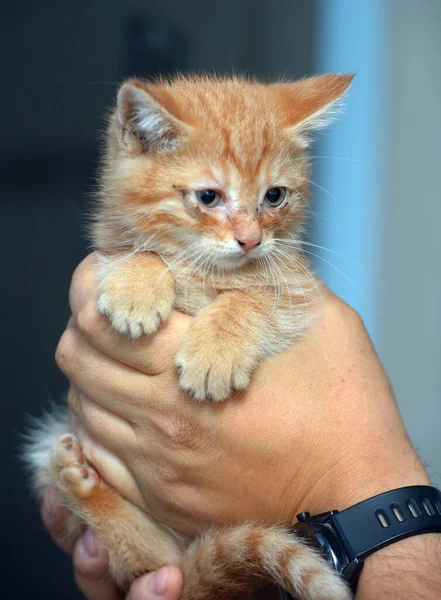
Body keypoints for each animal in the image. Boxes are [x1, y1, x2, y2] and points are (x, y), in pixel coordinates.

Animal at [25, 72, 352, 596]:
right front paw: (137, 285)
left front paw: (216, 351)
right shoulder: (106, 250)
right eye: (209, 197)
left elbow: (254, 299)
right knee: (147, 555)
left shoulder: (299, 294)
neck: (202, 269)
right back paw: (78, 480)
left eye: (275, 196)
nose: (251, 240)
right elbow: (139, 251)